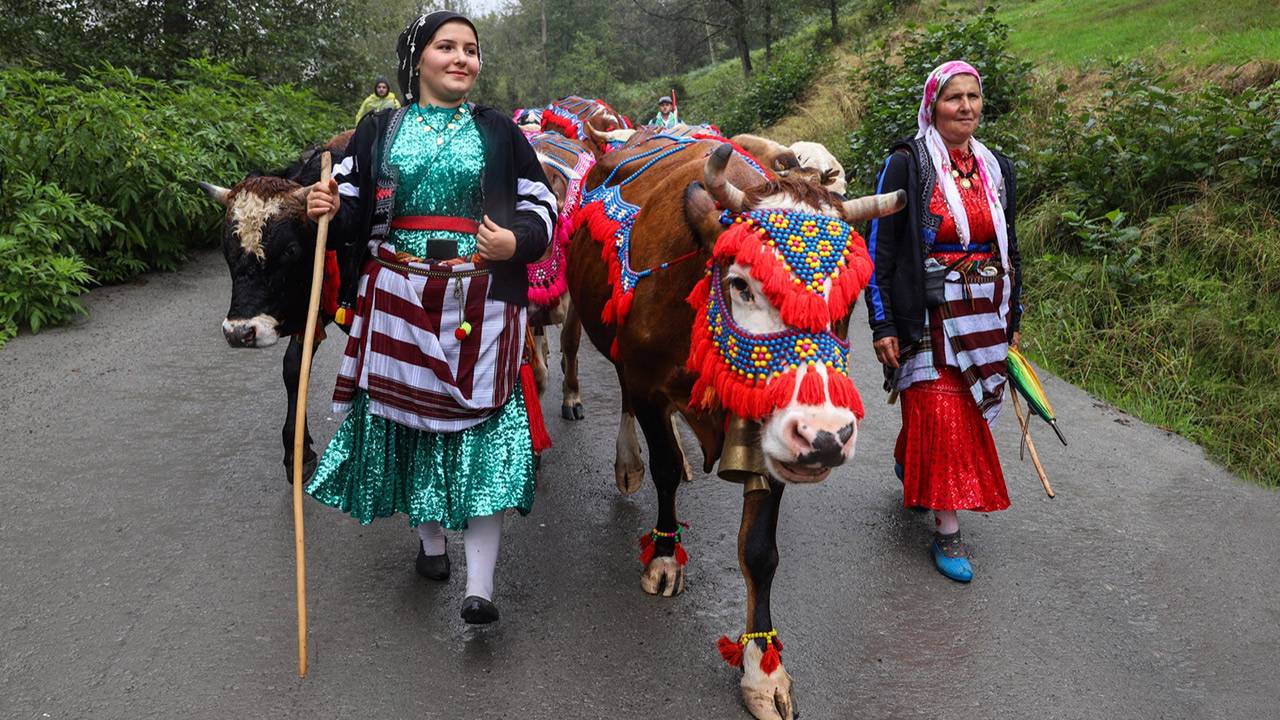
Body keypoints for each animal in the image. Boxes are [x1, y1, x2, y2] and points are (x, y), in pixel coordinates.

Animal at [565, 135, 906, 717]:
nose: (827, 438)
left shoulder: (772, 437)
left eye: (848, 300)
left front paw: (763, 672)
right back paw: (629, 462)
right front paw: (664, 556)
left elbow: (759, 551)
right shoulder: (649, 382)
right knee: (625, 399)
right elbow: (662, 469)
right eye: (741, 284)